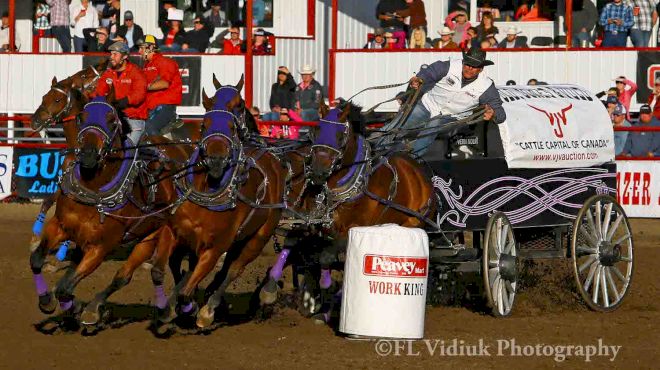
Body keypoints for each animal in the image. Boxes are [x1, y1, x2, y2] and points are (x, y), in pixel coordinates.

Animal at [28, 89, 188, 326]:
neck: (94, 190)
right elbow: (37, 259)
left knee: (124, 276)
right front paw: (47, 299)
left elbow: (67, 289)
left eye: (112, 121)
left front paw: (75, 306)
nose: (88, 154)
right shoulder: (60, 226)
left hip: (151, 237)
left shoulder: (100, 248)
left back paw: (95, 309)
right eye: (81, 117)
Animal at [152, 81, 286, 330]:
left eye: (232, 127)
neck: (208, 192)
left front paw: (192, 308)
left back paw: (209, 308)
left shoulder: (214, 248)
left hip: (258, 237)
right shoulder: (174, 233)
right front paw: (167, 310)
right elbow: (159, 271)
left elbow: (187, 291)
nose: (215, 160)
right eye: (204, 125)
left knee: (234, 269)